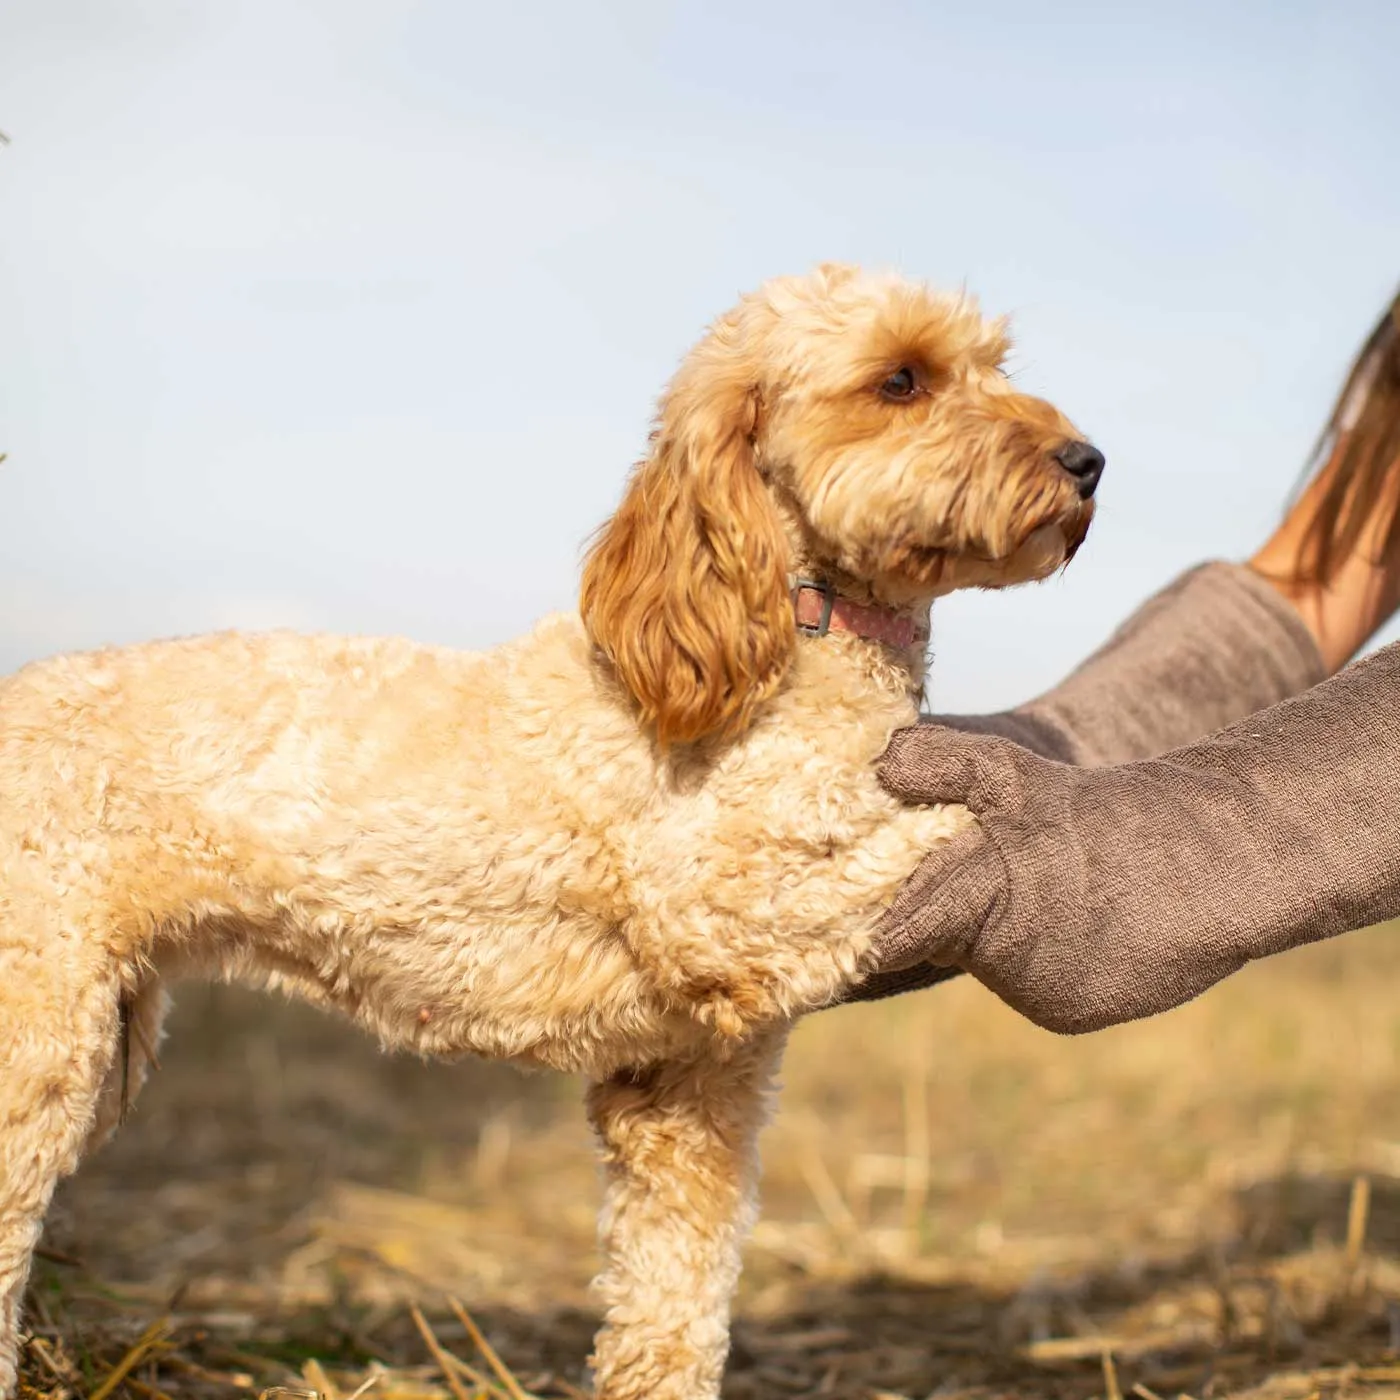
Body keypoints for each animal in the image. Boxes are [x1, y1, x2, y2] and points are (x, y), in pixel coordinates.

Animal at [0, 264, 1097, 1400]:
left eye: (995, 366)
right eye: (900, 380)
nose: (1086, 461)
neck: (793, 633)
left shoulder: (692, 1081)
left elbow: (673, 1297)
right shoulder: (724, 903)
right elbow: (949, 825)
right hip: (36, 1030)